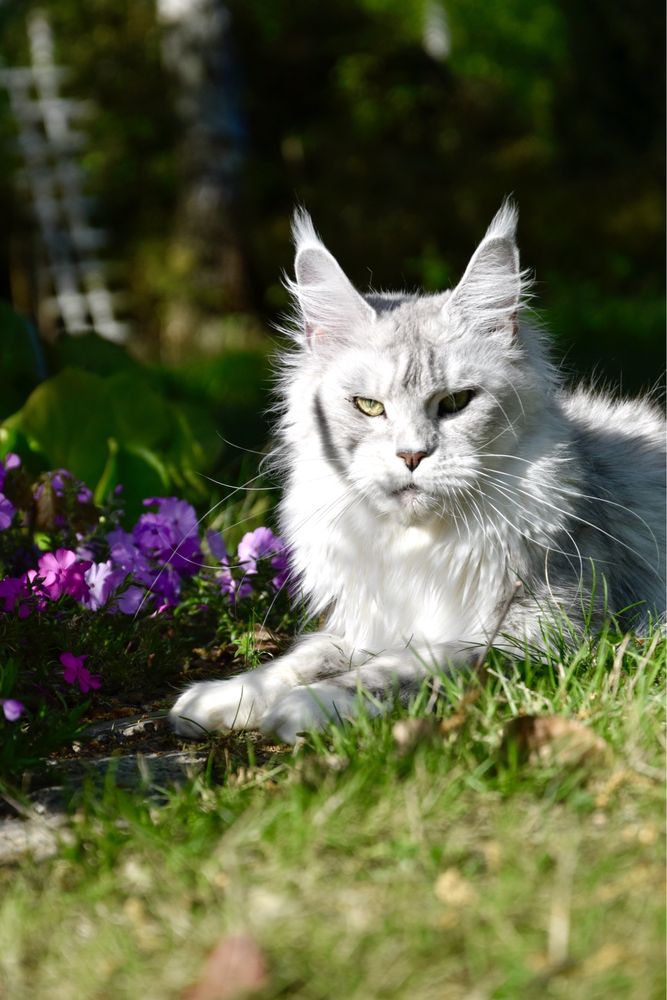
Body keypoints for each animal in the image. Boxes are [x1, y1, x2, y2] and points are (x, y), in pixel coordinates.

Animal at [168, 201, 667, 744]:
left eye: (455, 403)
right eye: (368, 406)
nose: (411, 456)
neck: (413, 546)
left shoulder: (547, 631)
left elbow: (403, 667)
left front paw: (307, 707)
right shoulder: (364, 624)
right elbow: (297, 660)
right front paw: (220, 699)